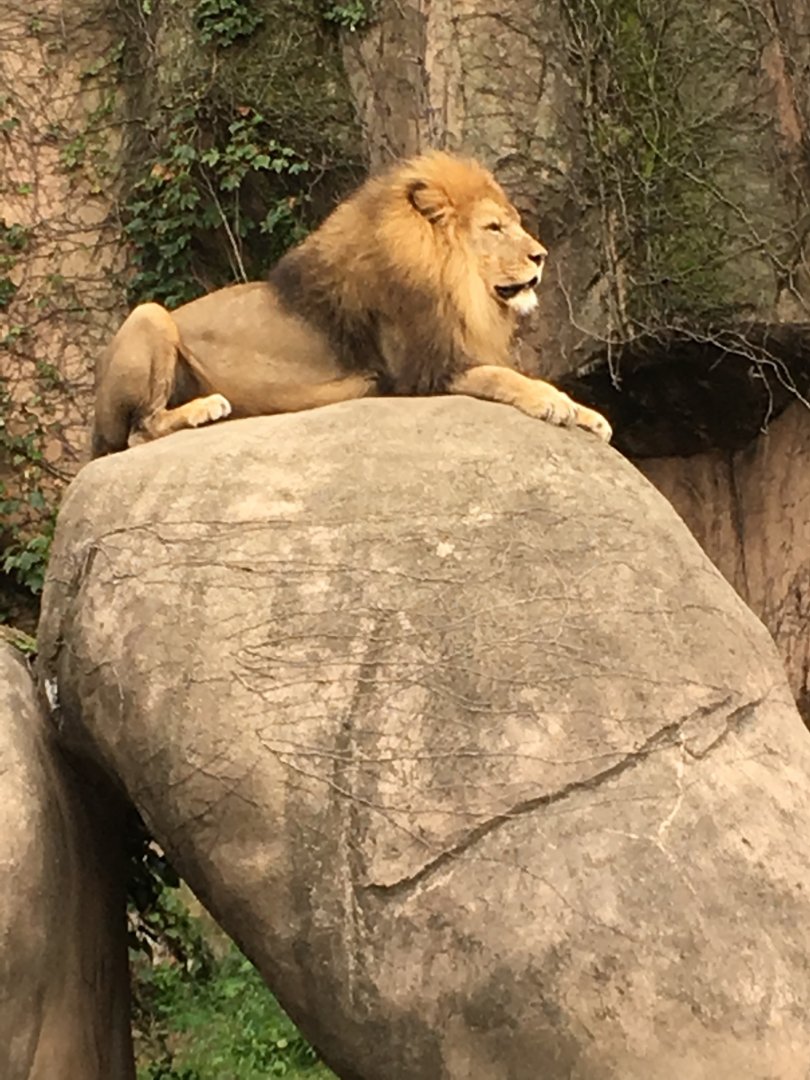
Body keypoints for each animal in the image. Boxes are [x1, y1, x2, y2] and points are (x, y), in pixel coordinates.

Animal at [92, 151, 611, 457]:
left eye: (515, 224)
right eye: (494, 228)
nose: (541, 255)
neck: (456, 288)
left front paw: (592, 417)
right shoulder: (420, 376)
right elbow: (505, 378)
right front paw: (552, 404)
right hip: (150, 314)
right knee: (139, 430)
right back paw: (205, 408)